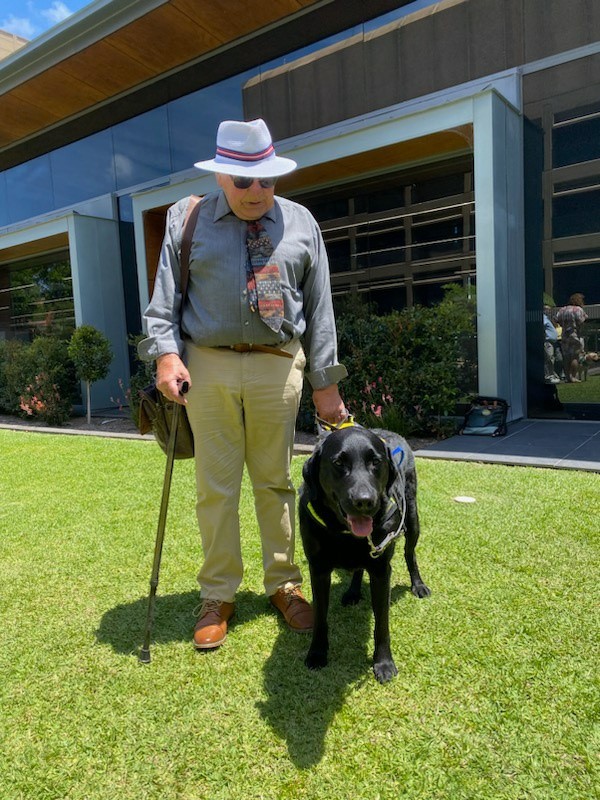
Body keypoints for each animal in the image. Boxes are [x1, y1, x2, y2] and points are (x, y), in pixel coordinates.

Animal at [300, 424, 432, 680]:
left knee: (410, 554)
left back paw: (418, 585)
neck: (344, 532)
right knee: (359, 568)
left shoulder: (381, 570)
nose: (364, 501)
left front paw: (384, 663)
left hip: (412, 518)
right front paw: (317, 654)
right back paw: (353, 592)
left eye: (376, 462)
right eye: (338, 462)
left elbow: (382, 623)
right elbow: (320, 617)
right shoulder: (318, 569)